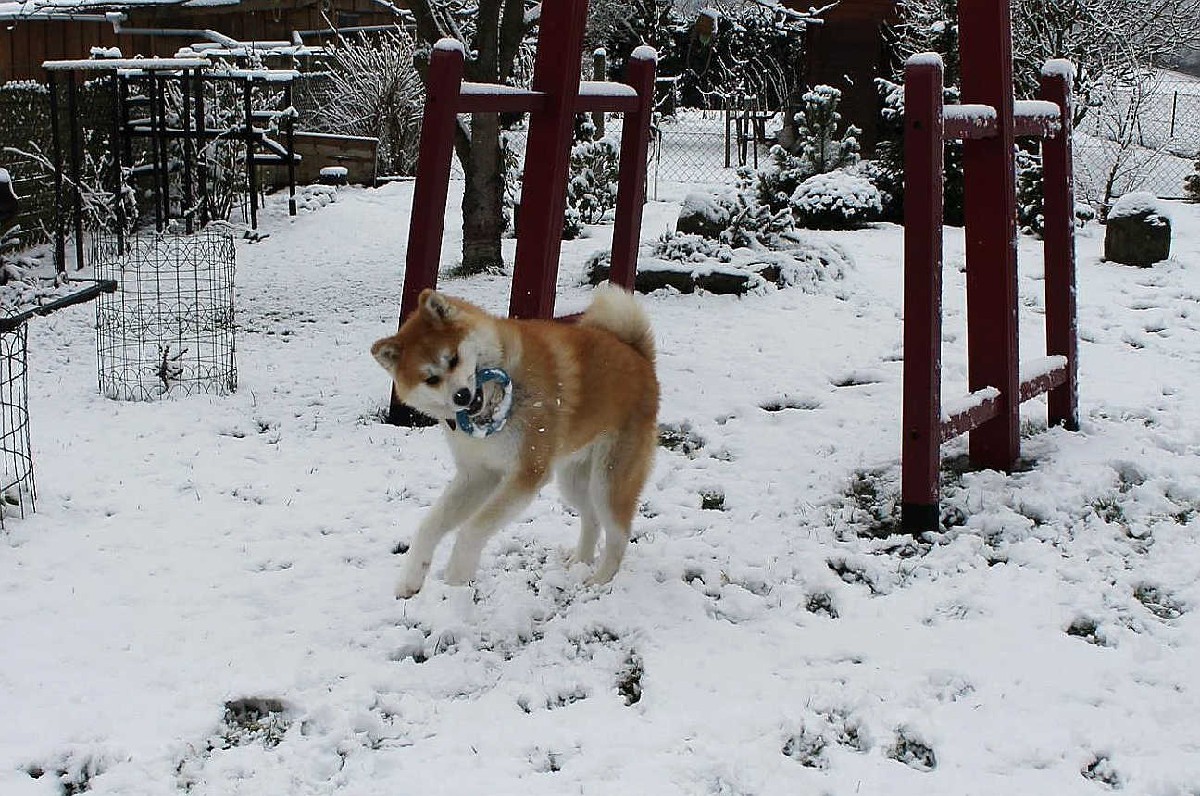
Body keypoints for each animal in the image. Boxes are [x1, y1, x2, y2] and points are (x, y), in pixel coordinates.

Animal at [371, 284, 659, 598]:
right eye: (431, 379)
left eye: (454, 359)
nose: (461, 395)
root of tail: (639, 355)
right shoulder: (478, 475)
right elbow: (429, 526)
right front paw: (410, 579)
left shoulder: (526, 474)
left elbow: (472, 528)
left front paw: (457, 575)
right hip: (573, 479)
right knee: (591, 519)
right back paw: (580, 561)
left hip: (608, 480)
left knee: (618, 535)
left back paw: (599, 580)